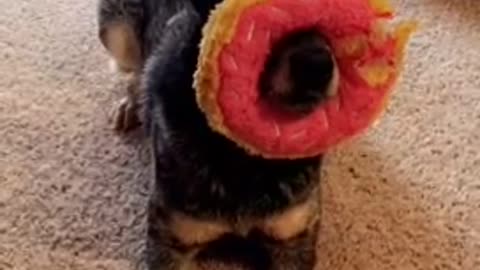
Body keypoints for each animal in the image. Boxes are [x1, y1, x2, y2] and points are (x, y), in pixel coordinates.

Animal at [97, 1, 338, 268]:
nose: (316, 66)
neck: (246, 158)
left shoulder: (293, 237)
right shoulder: (169, 239)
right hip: (117, 31)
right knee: (133, 71)